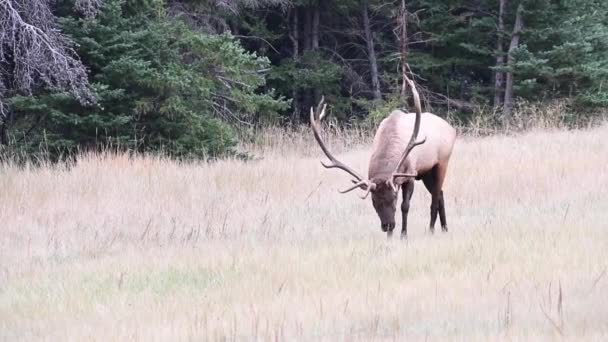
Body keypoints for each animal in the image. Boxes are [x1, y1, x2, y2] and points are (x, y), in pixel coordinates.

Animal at [308, 78, 456, 238]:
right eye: (374, 201)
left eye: (394, 198)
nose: (387, 225)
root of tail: (451, 128)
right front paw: (390, 237)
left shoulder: (410, 175)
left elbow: (405, 206)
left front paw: (403, 235)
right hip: (426, 173)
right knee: (440, 193)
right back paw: (445, 228)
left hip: (442, 163)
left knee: (435, 197)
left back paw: (431, 229)